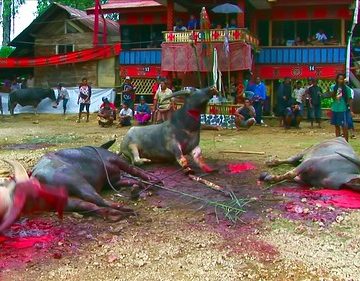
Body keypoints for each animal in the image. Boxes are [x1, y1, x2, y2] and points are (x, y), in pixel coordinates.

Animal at [31, 139, 159, 222]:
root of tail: (35, 176)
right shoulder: (114, 159)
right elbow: (133, 169)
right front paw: (156, 181)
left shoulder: (112, 182)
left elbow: (127, 180)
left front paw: (141, 185)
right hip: (76, 180)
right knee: (95, 199)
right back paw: (129, 210)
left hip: (64, 200)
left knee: (88, 205)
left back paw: (118, 214)